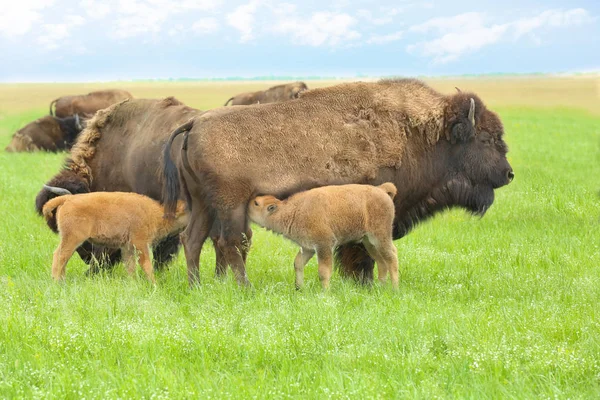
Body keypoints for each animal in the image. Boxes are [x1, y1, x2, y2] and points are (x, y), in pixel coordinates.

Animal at [42, 189, 188, 282]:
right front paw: (154, 284)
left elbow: (130, 266)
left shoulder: (128, 247)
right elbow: (146, 264)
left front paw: (133, 283)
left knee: (62, 258)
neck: (156, 213)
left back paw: (62, 279)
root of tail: (69, 198)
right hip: (72, 239)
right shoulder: (141, 244)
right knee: (60, 256)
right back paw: (57, 281)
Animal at [246, 183, 400, 290]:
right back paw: (380, 287)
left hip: (380, 237)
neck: (294, 210)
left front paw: (325, 292)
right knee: (381, 261)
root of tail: (382, 190)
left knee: (391, 256)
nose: (247, 205)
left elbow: (323, 271)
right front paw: (299, 288)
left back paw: (394, 288)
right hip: (369, 242)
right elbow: (298, 263)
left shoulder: (324, 246)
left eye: (256, 203)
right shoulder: (307, 248)